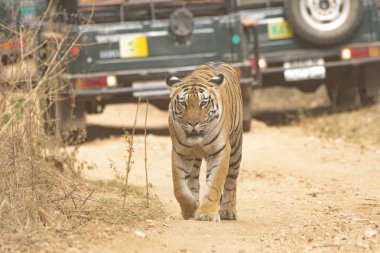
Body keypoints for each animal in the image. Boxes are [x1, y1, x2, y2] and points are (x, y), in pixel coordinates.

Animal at [166, 61, 243, 221]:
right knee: (194, 180)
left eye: (203, 103)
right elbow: (179, 187)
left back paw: (228, 211)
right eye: (183, 103)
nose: (193, 123)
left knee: (231, 182)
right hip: (195, 160)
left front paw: (207, 213)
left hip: (236, 149)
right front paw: (190, 209)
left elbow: (214, 184)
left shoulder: (221, 150)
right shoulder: (180, 152)